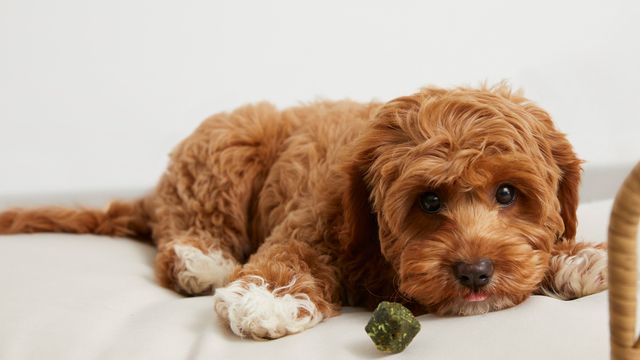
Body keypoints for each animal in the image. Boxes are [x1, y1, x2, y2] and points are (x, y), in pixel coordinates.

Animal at [0, 84, 604, 340]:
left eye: (507, 194)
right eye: (428, 201)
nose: (476, 273)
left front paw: (580, 258)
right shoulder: (316, 218)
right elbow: (291, 252)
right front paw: (268, 299)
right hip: (230, 144)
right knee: (184, 225)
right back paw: (203, 259)